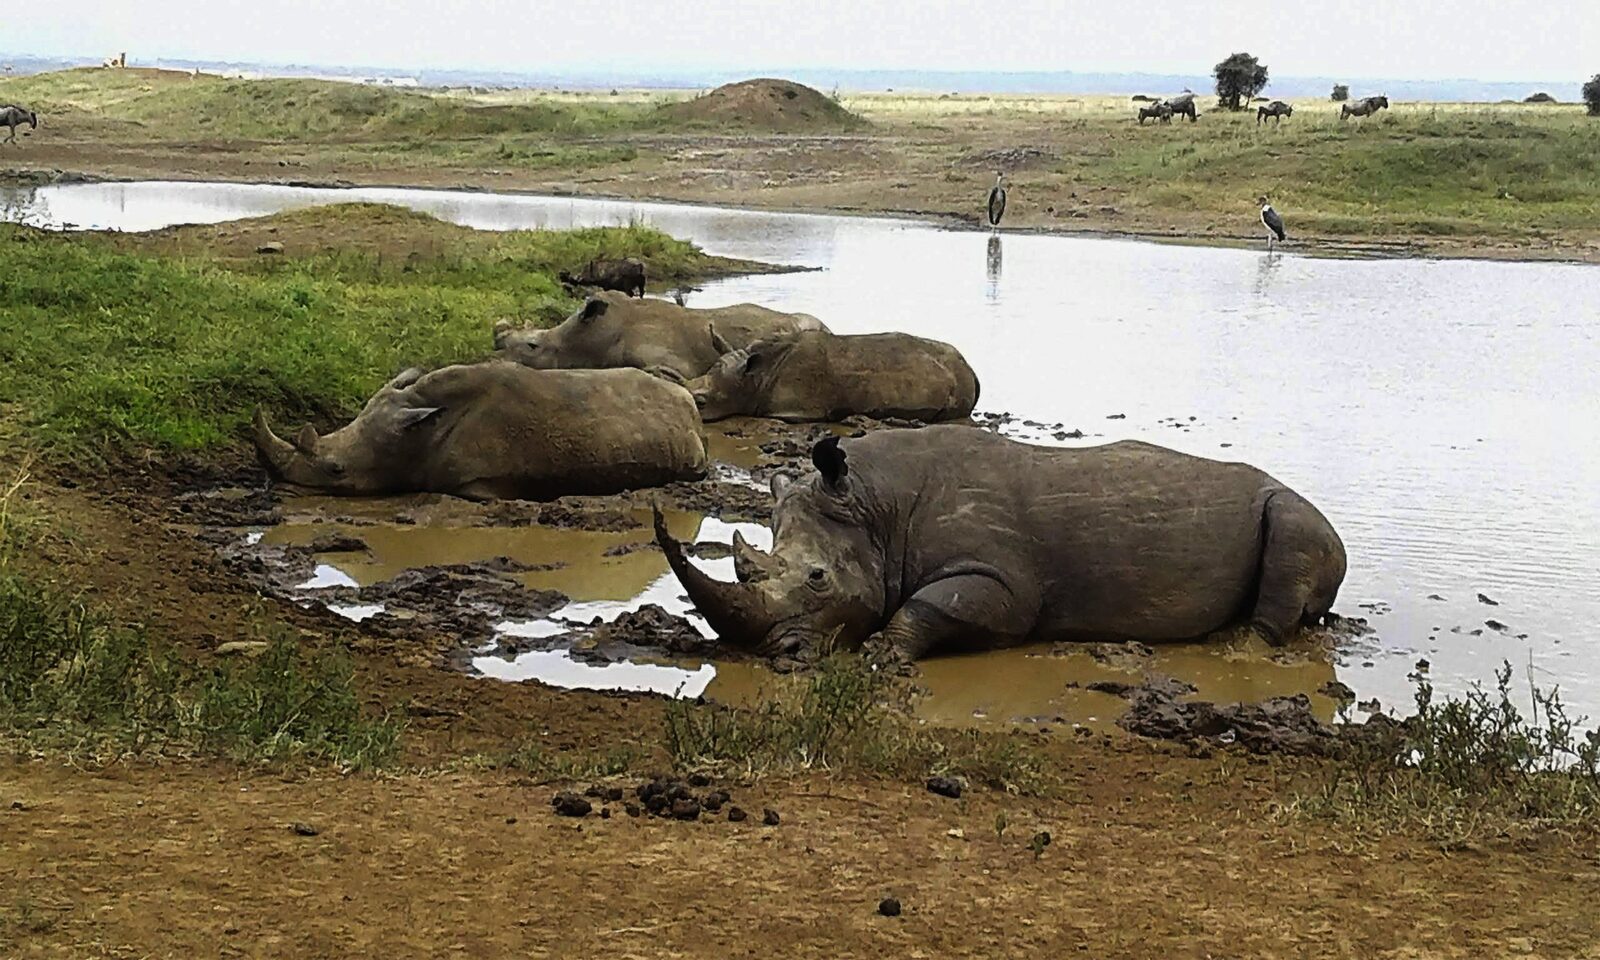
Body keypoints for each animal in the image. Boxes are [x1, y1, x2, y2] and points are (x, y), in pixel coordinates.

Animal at [655, 427, 1345, 660]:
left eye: (818, 578)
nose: (776, 652)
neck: (875, 506)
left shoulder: (1004, 581)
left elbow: (938, 605)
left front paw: (882, 653)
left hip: (1298, 513)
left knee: (1294, 531)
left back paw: (1237, 649)